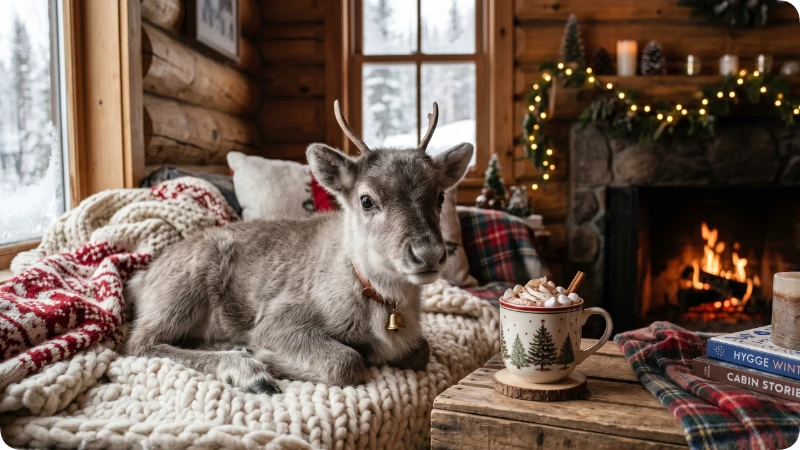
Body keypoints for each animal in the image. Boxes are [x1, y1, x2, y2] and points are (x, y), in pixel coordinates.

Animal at [123, 101, 474, 394]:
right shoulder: (278, 319)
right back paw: (247, 370)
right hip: (182, 290)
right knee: (140, 344)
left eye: (440, 196)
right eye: (366, 200)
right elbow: (346, 362)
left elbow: (421, 351)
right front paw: (258, 354)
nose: (428, 254)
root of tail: (142, 279)